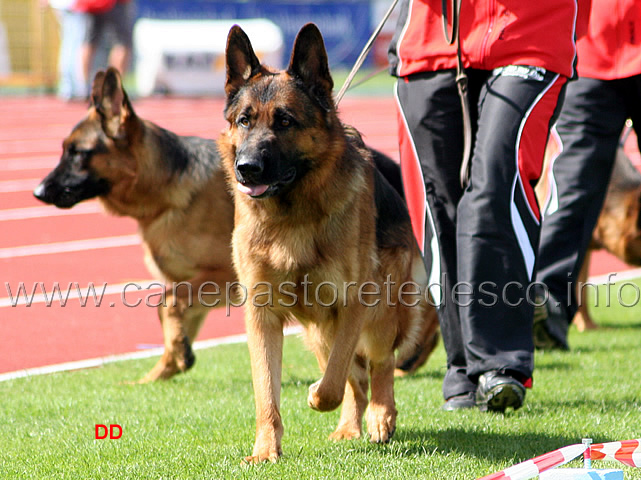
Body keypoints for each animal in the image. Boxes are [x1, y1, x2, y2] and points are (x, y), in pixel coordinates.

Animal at [32, 66, 235, 382]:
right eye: (66, 150)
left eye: (78, 153)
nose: (38, 192)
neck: (165, 187)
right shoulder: (195, 282)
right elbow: (173, 314)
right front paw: (165, 369)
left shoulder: (224, 276)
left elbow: (165, 304)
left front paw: (176, 356)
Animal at [218, 24, 438, 464]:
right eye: (245, 121)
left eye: (285, 121)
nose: (246, 168)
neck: (292, 218)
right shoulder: (262, 314)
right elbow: (267, 391)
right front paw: (266, 449)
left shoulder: (354, 302)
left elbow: (336, 380)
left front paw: (318, 395)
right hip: (318, 330)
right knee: (357, 375)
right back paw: (352, 425)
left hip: (379, 313)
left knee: (379, 363)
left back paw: (381, 415)